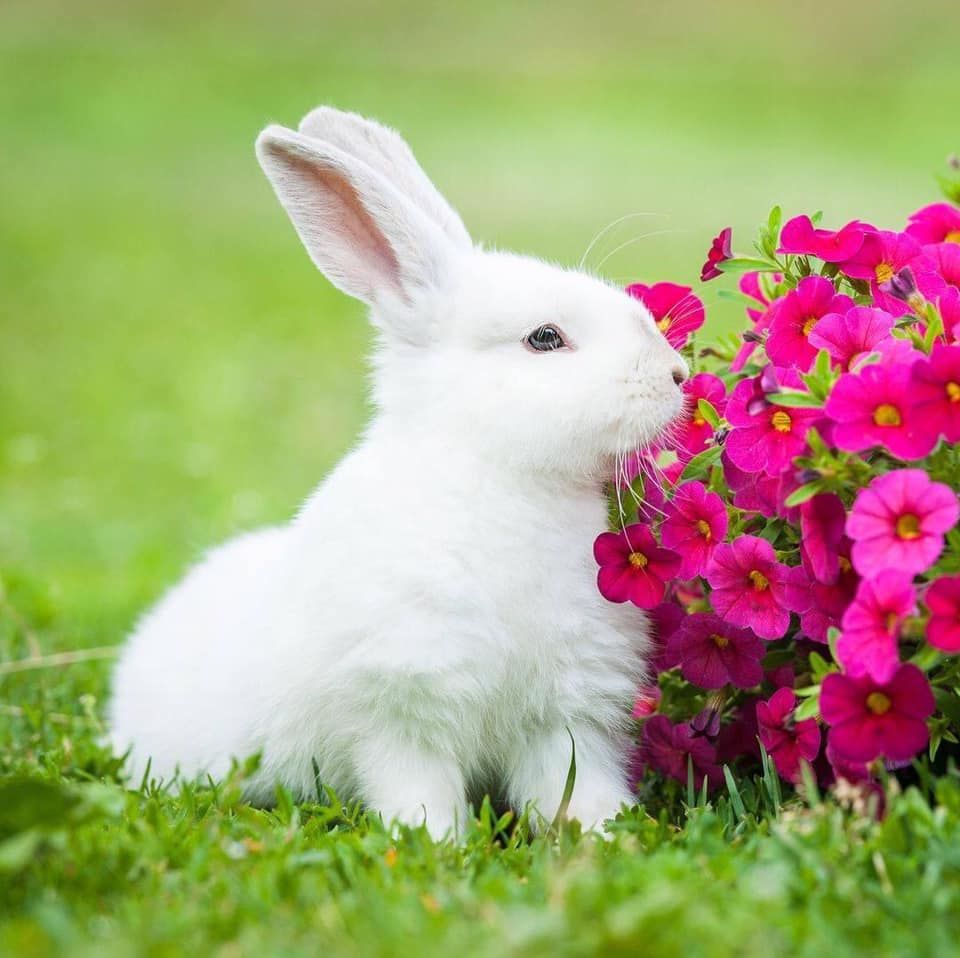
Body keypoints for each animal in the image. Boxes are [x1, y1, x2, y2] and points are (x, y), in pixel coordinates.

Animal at [108, 106, 689, 838]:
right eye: (544, 338)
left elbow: (574, 787)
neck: (503, 477)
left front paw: (607, 834)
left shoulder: (566, 713)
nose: (679, 375)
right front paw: (437, 844)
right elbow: (418, 789)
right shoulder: (401, 710)